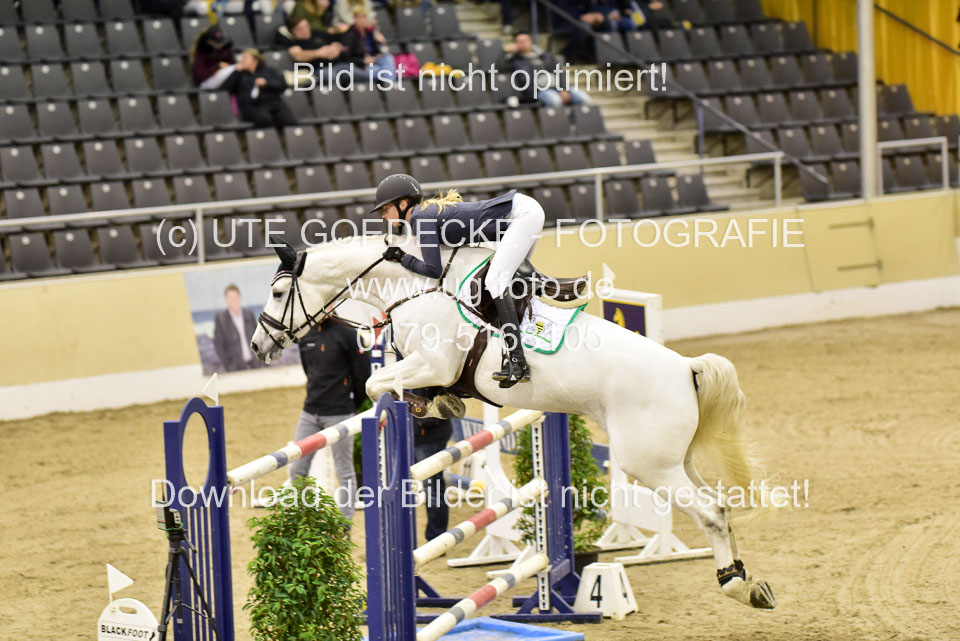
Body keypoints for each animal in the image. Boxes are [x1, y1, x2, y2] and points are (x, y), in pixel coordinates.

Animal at [250, 233, 777, 610]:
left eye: (276, 291)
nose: (258, 346)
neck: (413, 289)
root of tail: (686, 368)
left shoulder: (433, 362)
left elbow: (381, 385)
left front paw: (427, 405)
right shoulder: (428, 365)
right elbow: (392, 383)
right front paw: (443, 404)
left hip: (649, 464)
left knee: (709, 514)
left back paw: (735, 587)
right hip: (674, 460)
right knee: (720, 506)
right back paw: (750, 582)